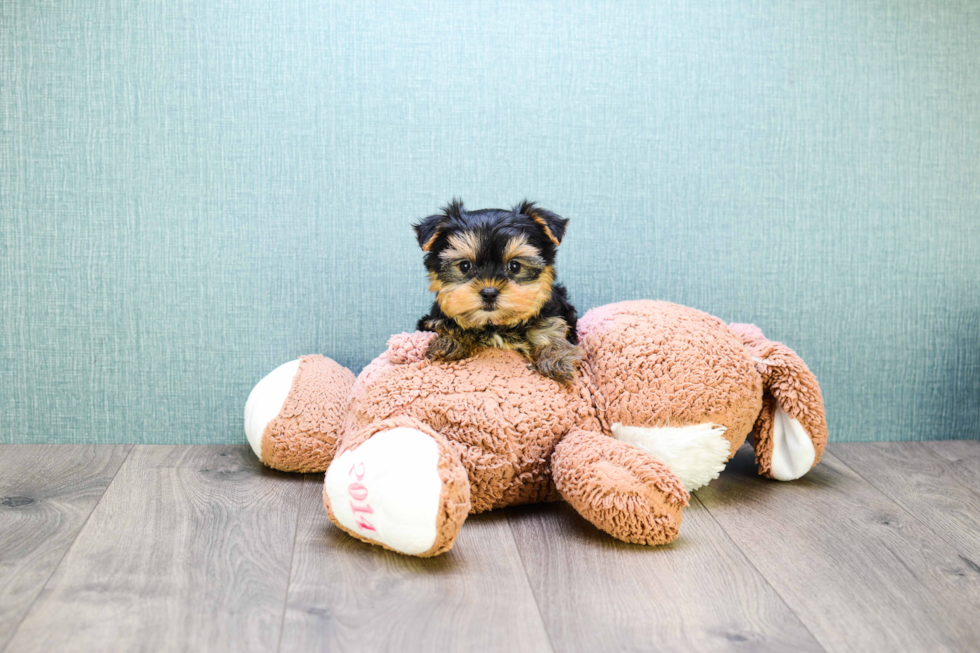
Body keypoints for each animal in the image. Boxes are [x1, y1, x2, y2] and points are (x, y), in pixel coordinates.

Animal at [416, 199, 580, 382]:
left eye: (514, 266)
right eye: (465, 266)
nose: (489, 293)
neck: (494, 324)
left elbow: (551, 330)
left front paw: (556, 360)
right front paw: (449, 342)